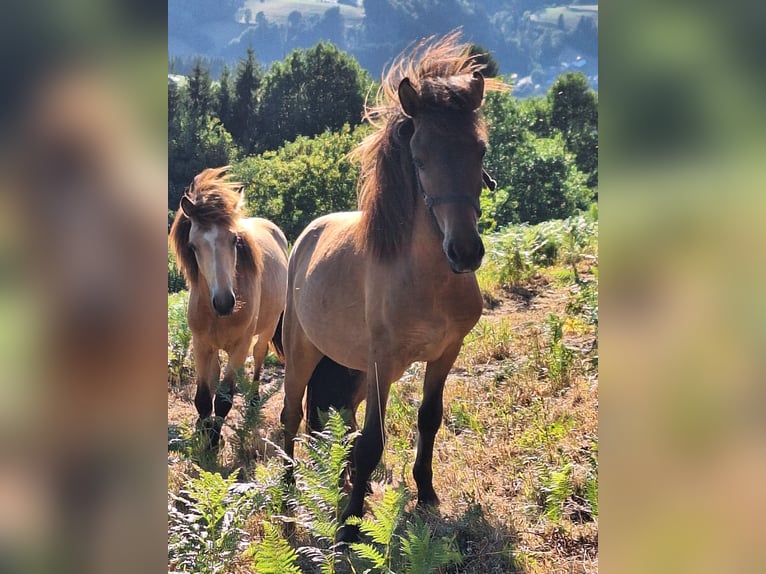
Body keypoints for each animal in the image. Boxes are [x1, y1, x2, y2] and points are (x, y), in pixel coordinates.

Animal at [169, 167, 288, 449]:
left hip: (267, 328)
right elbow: (203, 397)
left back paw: (253, 398)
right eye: (193, 246)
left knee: (259, 354)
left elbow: (223, 399)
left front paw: (213, 442)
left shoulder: (239, 347)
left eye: (234, 240)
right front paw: (204, 432)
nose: (224, 302)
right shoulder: (201, 344)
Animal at [280, 32, 507, 542]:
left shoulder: (445, 354)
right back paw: (285, 499)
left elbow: (428, 419)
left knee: (338, 420)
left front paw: (425, 493)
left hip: (354, 371)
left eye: (480, 150)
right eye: (419, 158)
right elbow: (373, 440)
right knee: (290, 419)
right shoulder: (383, 363)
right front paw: (348, 526)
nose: (465, 252)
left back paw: (346, 481)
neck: (427, 280)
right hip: (305, 355)